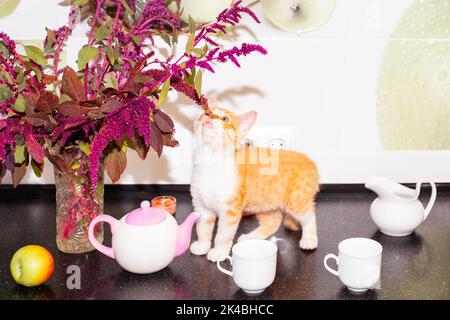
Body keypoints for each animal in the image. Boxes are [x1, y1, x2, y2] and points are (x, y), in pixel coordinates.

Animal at [190, 107, 320, 262]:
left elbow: (223, 235)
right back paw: (250, 238)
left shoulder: (230, 211)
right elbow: (202, 229)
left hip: (296, 200)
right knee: (273, 223)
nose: (209, 118)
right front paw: (202, 246)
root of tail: (309, 161)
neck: (210, 160)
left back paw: (309, 239)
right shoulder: (201, 207)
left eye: (225, 119)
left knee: (309, 216)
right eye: (206, 113)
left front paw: (219, 251)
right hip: (265, 205)